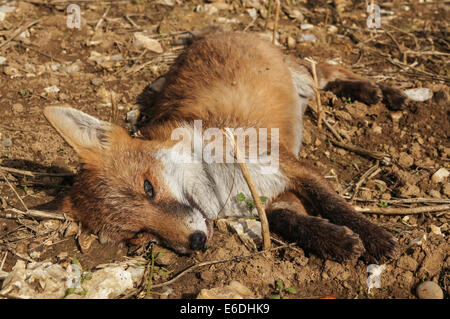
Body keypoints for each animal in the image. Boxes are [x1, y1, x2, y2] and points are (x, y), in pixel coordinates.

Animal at [44, 31, 404, 264]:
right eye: (138, 234)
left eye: (148, 188)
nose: (197, 242)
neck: (219, 189)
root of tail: (210, 34)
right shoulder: (271, 197)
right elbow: (291, 222)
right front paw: (335, 242)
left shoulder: (288, 164)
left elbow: (335, 206)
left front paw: (375, 239)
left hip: (305, 76)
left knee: (330, 69)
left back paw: (382, 92)